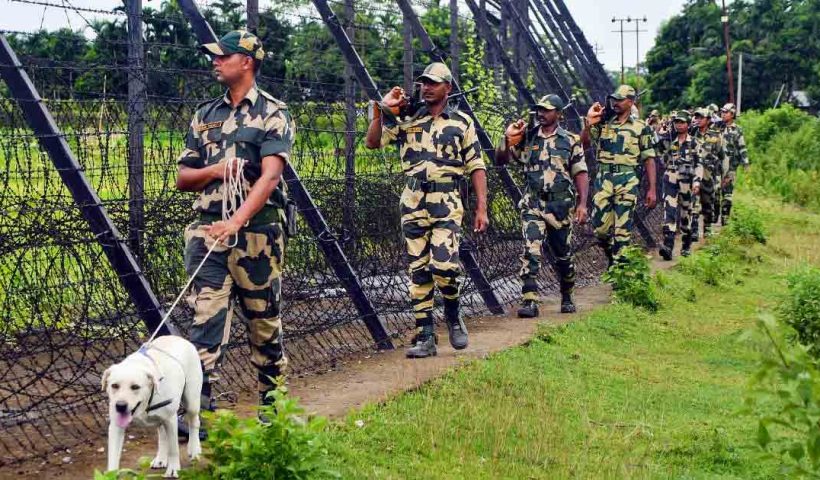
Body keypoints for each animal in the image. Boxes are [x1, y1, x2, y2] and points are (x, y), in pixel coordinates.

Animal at [101, 336, 203, 478]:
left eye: (135, 387)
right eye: (114, 385)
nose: (120, 406)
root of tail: (178, 338)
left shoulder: (171, 420)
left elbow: (174, 449)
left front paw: (173, 469)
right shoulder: (116, 426)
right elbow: (113, 456)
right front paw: (110, 474)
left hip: (191, 401)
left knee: (194, 422)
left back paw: (194, 449)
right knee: (162, 435)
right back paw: (161, 458)